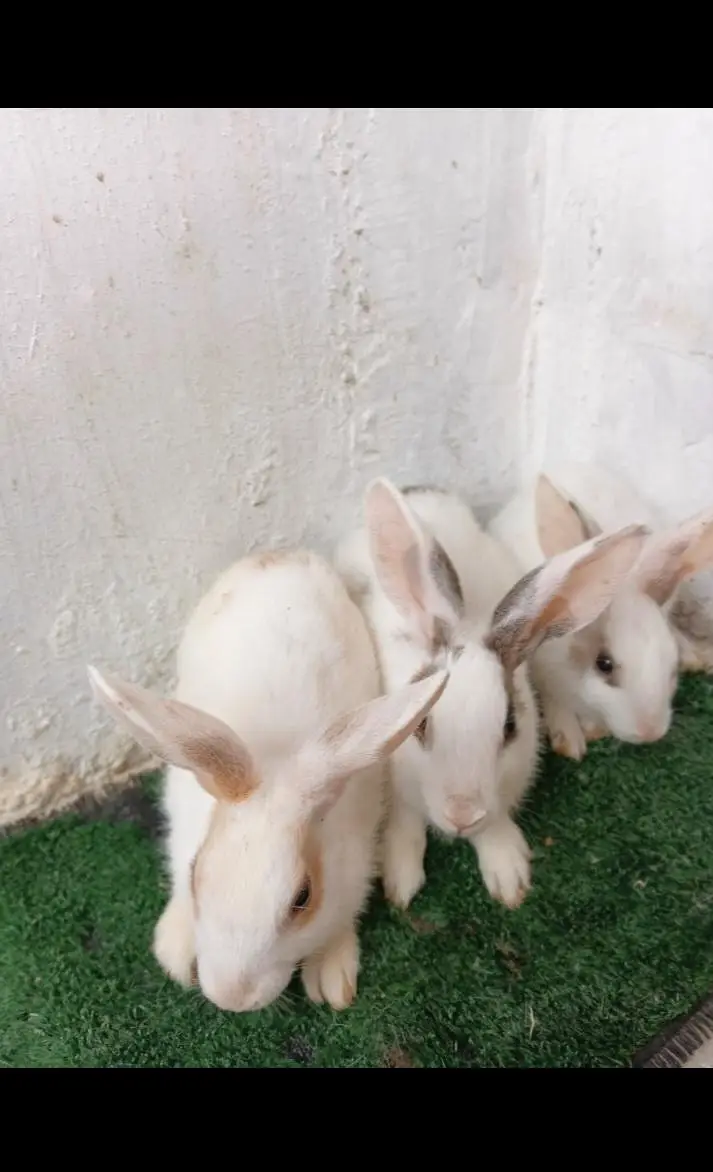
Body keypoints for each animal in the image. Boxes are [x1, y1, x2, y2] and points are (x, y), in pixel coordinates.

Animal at [87, 548, 448, 1015]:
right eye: (195, 873)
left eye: (303, 897)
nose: (232, 998)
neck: (274, 757)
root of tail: (280, 555)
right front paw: (174, 950)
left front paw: (331, 973)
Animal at [334, 479, 649, 913]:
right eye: (421, 724)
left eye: (510, 726)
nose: (461, 813)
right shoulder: (396, 792)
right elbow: (405, 825)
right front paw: (401, 883)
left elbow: (494, 828)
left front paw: (510, 877)